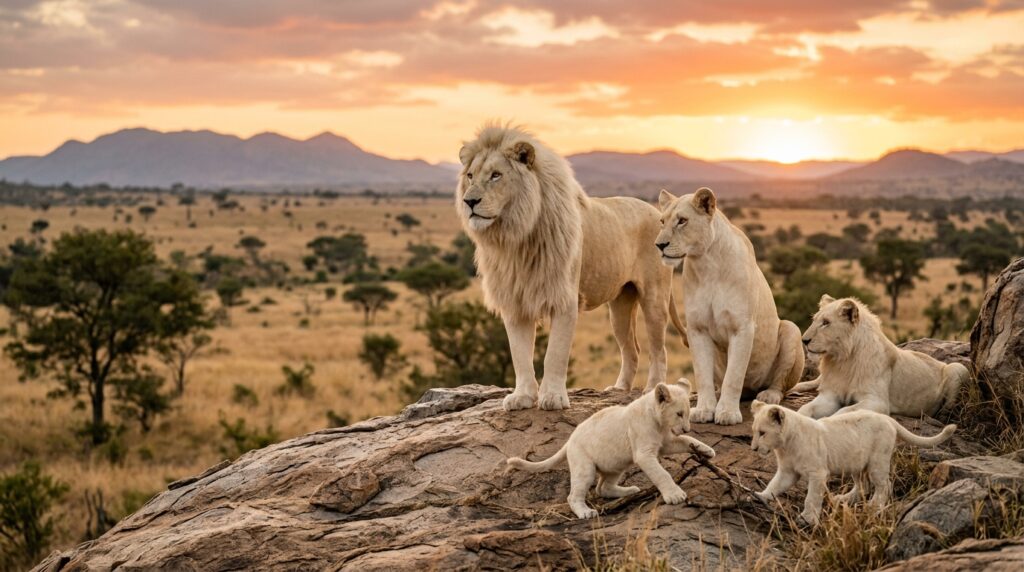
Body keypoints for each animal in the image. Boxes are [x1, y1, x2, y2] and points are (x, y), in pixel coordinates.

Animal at [456, 124, 686, 411]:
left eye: (496, 175)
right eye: (471, 176)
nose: (469, 202)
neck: (515, 237)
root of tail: (661, 215)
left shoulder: (564, 298)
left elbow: (555, 353)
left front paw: (553, 397)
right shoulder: (515, 301)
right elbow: (519, 354)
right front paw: (522, 397)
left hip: (654, 297)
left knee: (659, 349)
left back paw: (652, 389)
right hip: (620, 307)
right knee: (632, 348)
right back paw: (619, 388)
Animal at [507, 380, 715, 519]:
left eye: (687, 414)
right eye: (679, 414)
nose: (686, 427)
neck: (659, 424)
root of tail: (570, 439)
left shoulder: (665, 443)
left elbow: (686, 441)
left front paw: (707, 450)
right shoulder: (644, 454)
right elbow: (662, 474)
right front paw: (675, 495)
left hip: (617, 464)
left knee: (603, 488)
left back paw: (630, 490)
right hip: (585, 467)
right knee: (574, 495)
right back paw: (586, 512)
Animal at [655, 188, 804, 425]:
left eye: (682, 221)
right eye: (662, 221)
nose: (659, 245)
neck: (706, 264)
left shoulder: (742, 327)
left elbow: (733, 376)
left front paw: (727, 413)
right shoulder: (697, 329)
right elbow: (702, 375)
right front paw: (704, 409)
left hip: (791, 329)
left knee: (781, 386)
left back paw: (768, 395)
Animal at [750, 400, 956, 525]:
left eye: (762, 433)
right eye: (754, 431)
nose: (753, 448)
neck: (785, 445)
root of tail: (887, 418)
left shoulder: (818, 473)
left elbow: (811, 497)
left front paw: (808, 519)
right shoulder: (788, 471)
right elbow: (774, 485)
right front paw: (760, 496)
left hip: (877, 462)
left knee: (885, 485)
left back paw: (874, 506)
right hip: (857, 464)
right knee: (863, 486)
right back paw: (841, 499)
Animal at [793, 296, 968, 419]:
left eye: (826, 322)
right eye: (814, 320)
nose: (804, 340)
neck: (843, 359)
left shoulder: (877, 402)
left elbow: (844, 411)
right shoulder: (830, 396)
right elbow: (806, 408)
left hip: (957, 368)